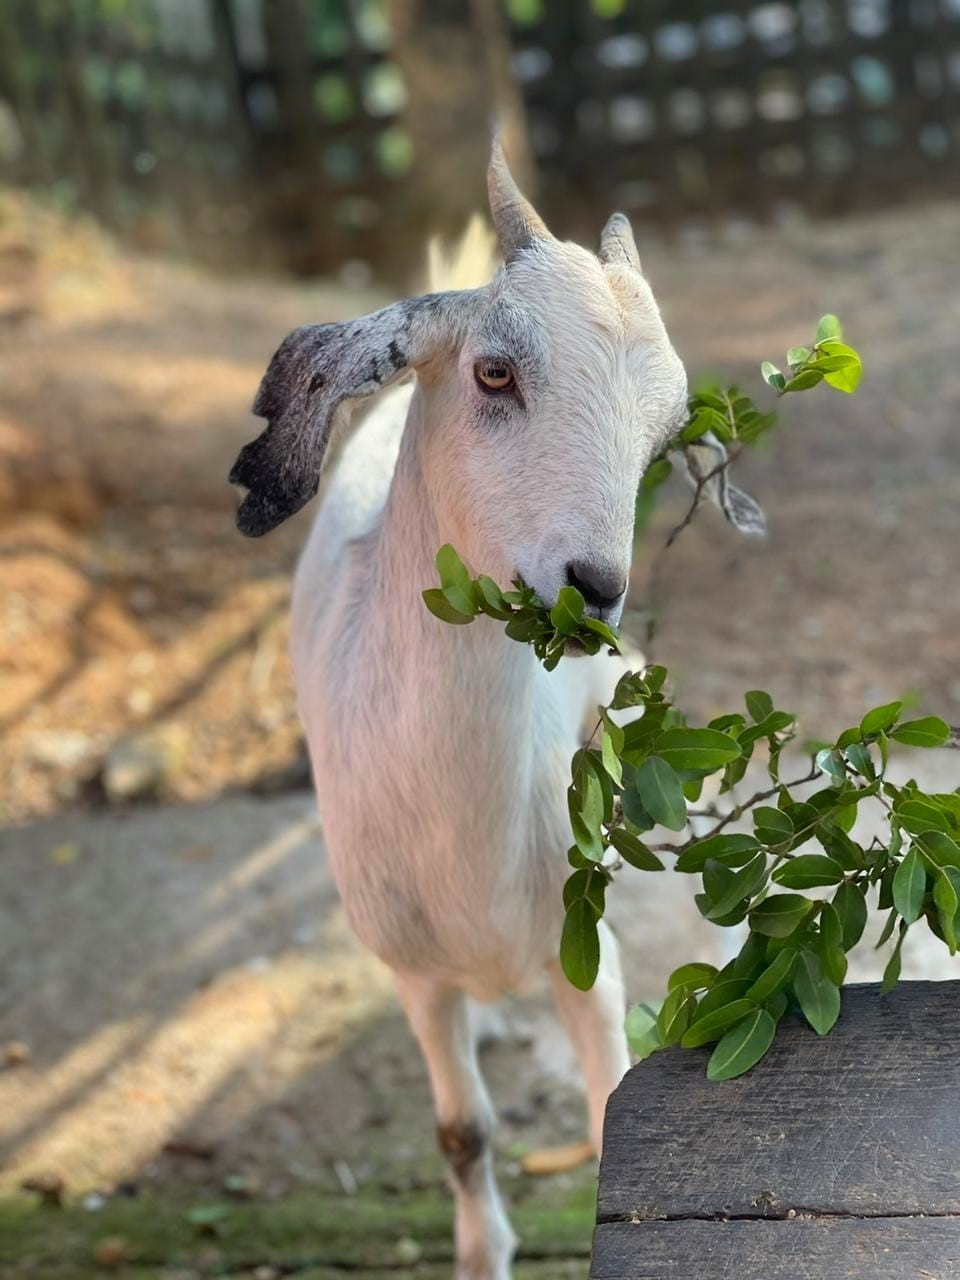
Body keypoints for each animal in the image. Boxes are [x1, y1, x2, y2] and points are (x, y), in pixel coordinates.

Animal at [230, 142, 748, 1280]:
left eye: (664, 436)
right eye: (495, 371)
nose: (593, 587)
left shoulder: (584, 954)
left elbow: (609, 1121)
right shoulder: (412, 969)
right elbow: (463, 1131)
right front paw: (481, 1250)